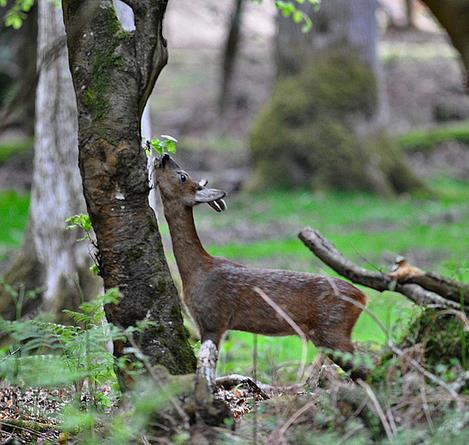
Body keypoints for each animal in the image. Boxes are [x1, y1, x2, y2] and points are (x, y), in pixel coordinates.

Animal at [155, 153, 368, 388]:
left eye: (182, 176)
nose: (165, 156)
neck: (195, 271)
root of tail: (363, 296)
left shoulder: (213, 319)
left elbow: (207, 371)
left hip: (332, 328)